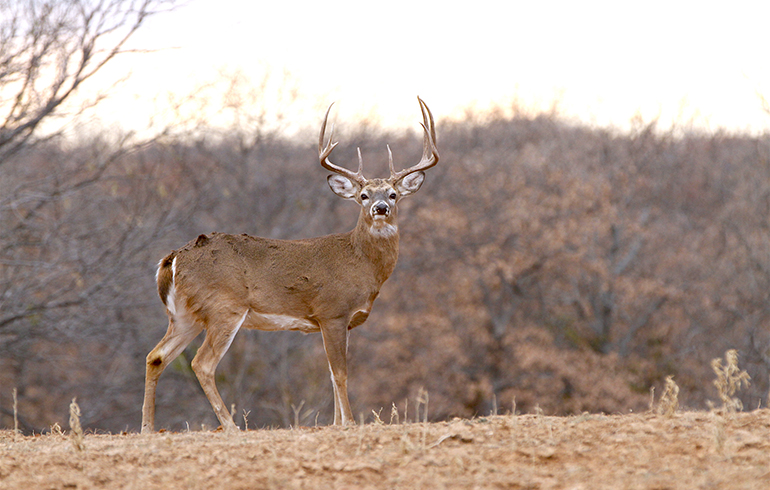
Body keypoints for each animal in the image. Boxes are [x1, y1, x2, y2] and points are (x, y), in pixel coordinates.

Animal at [140, 95, 438, 432]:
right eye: (363, 195)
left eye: (393, 193)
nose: (381, 208)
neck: (360, 262)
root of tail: (172, 258)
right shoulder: (332, 311)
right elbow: (340, 373)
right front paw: (348, 422)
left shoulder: (340, 321)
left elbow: (331, 374)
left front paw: (335, 423)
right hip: (223, 307)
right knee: (201, 363)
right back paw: (230, 426)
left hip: (185, 315)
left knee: (156, 356)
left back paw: (147, 427)